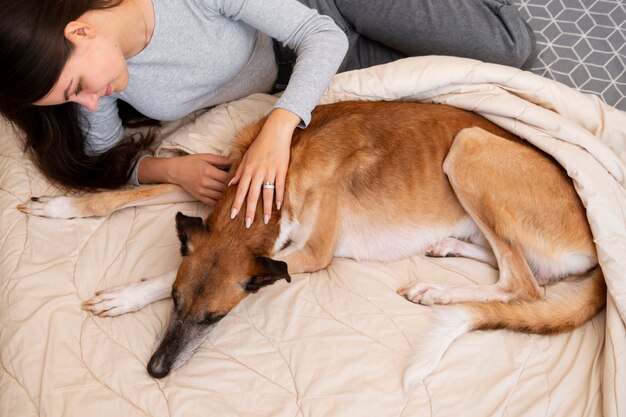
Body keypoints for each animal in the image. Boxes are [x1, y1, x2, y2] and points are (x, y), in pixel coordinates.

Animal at [18, 100, 604, 386]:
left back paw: (437, 291)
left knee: (525, 285)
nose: (156, 372)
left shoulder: (308, 254)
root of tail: (596, 241)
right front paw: (63, 208)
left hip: (470, 146)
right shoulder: (214, 183)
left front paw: (126, 294)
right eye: (177, 305)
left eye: (215, 320)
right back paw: (446, 253)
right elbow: (130, 195)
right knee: (520, 271)